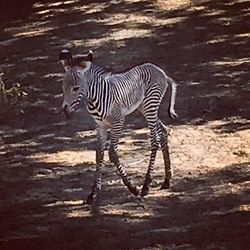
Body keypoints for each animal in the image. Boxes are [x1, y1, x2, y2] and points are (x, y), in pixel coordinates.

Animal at [58, 49, 178, 205]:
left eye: (76, 88)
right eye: (63, 87)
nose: (65, 111)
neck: (95, 98)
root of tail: (160, 71)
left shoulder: (118, 122)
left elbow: (112, 153)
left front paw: (132, 188)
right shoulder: (100, 126)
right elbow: (99, 154)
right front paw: (93, 193)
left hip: (150, 105)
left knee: (154, 140)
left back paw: (146, 185)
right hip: (144, 107)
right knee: (163, 131)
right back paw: (167, 180)